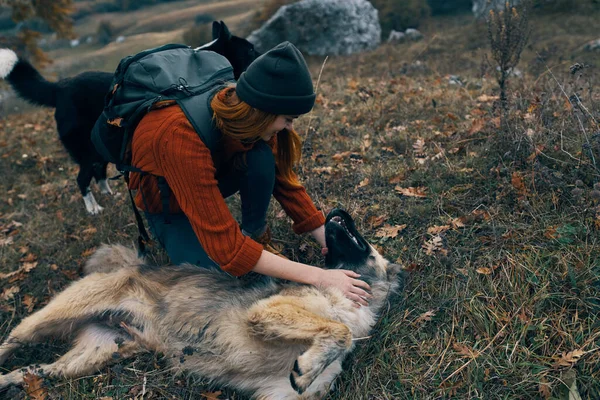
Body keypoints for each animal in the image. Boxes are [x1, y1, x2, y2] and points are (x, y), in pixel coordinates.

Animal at [0, 21, 258, 216]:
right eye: (251, 51)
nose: (262, 57)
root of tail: (59, 88)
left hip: (101, 146)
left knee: (99, 173)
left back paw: (110, 194)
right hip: (87, 150)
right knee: (82, 179)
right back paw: (93, 209)